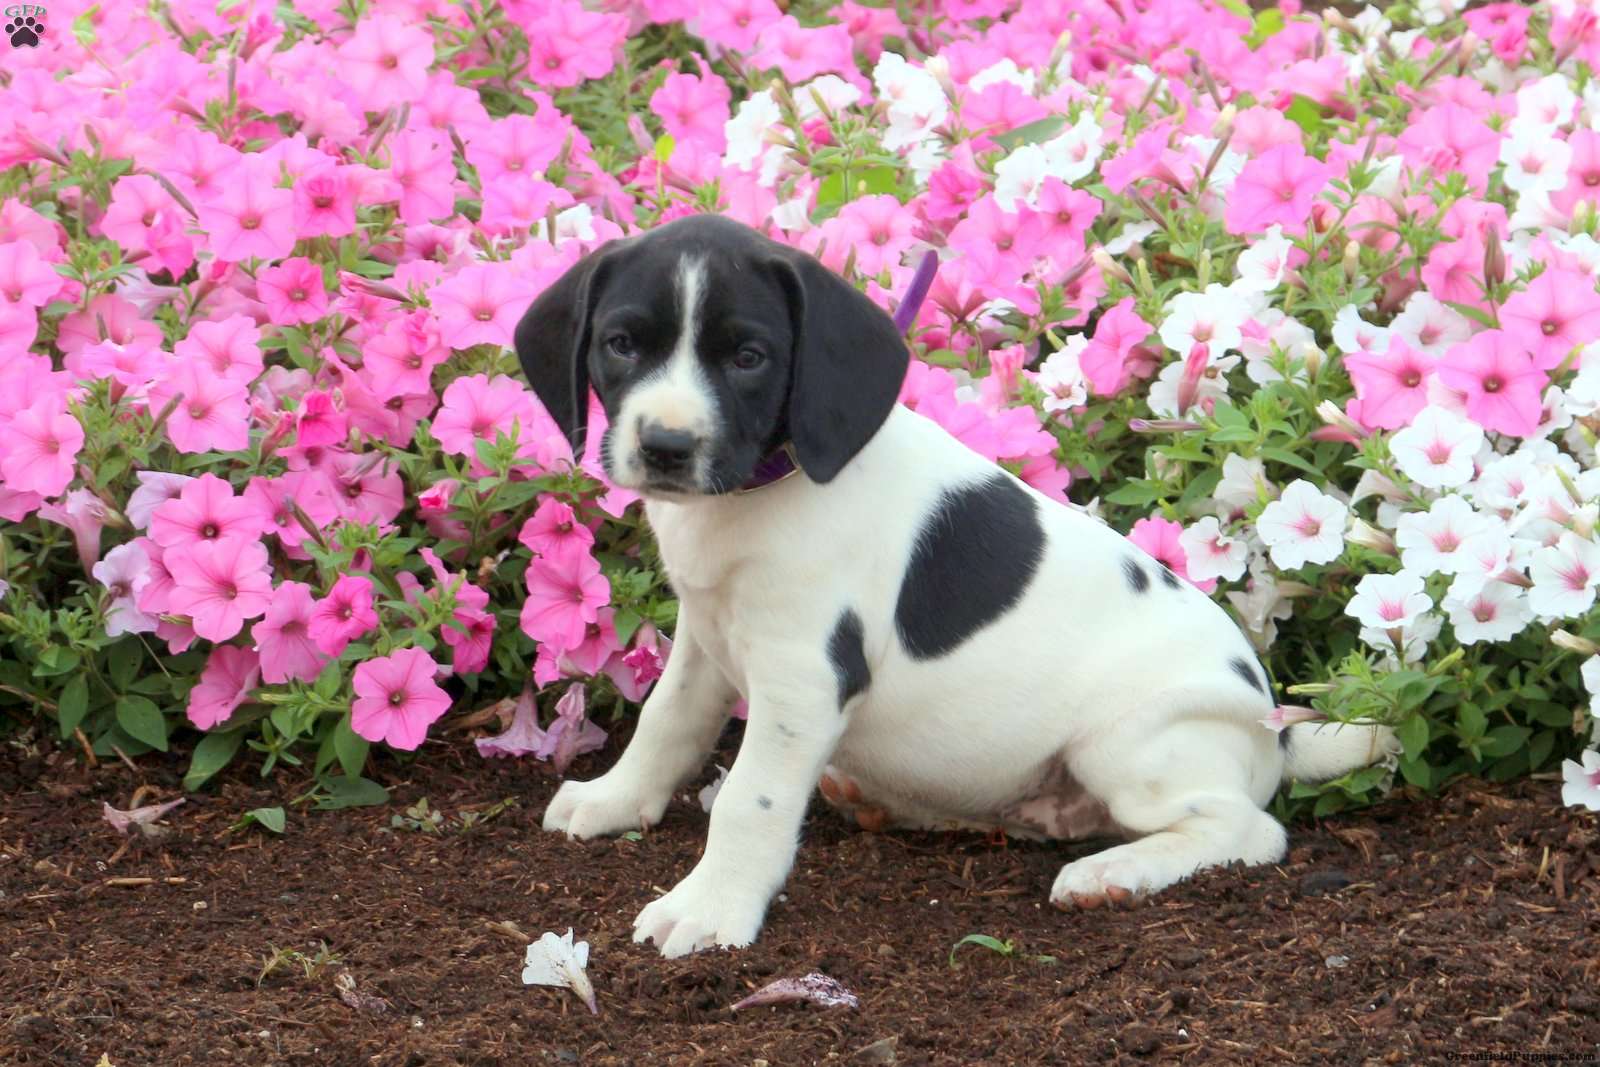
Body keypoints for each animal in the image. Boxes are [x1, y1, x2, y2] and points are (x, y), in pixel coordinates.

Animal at [515, 217, 1401, 959]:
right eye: (622, 344)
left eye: (748, 358)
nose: (666, 445)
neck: (763, 488)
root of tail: (1274, 725)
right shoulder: (705, 635)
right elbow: (665, 723)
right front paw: (615, 799)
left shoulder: (803, 676)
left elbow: (752, 800)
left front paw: (710, 907)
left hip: (1132, 740)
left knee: (1249, 829)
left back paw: (1113, 872)